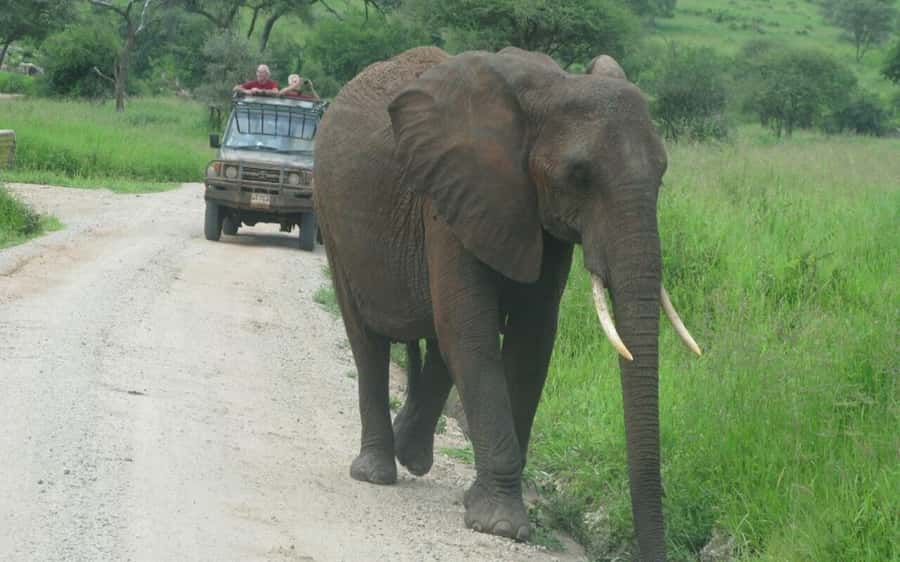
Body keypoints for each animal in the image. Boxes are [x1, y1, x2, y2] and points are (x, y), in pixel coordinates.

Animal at [313, 46, 700, 561]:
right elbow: (472, 332)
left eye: (661, 176)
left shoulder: (534, 211)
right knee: (368, 339)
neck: (553, 88)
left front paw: (484, 506)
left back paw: (412, 455)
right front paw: (500, 525)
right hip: (330, 212)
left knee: (437, 344)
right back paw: (376, 471)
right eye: (579, 176)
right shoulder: (452, 195)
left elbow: (532, 337)